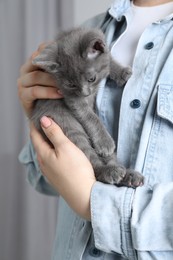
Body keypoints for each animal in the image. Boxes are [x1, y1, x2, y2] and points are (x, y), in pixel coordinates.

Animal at [31, 27, 143, 187]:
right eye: (71, 84)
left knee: (111, 159)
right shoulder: (70, 96)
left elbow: (108, 58)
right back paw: (109, 171)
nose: (85, 93)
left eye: (92, 79)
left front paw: (121, 72)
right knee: (91, 160)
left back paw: (129, 175)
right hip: (67, 126)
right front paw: (104, 141)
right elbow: (89, 116)